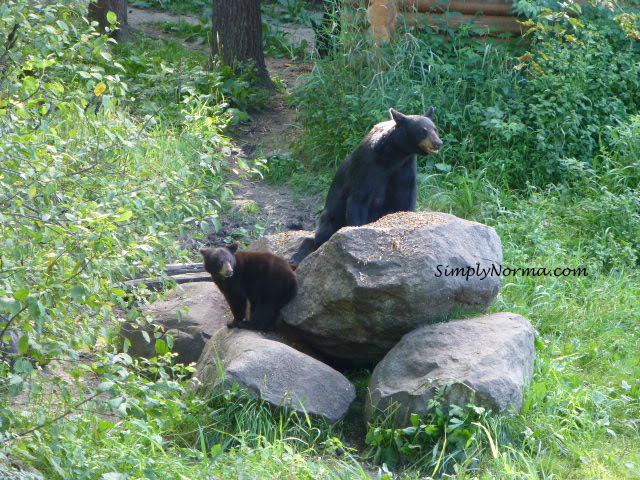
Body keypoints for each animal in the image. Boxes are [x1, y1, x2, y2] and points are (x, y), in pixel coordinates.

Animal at [312, 108, 442, 249]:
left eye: (435, 129)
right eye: (423, 131)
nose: (438, 143)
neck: (394, 156)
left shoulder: (406, 166)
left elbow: (406, 196)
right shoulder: (366, 167)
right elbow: (358, 200)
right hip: (330, 217)